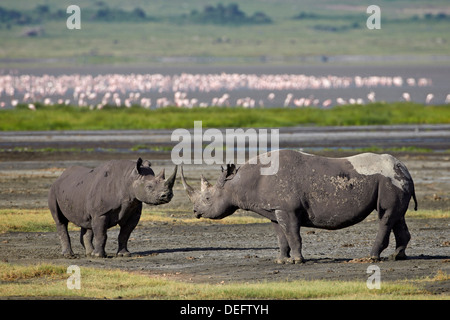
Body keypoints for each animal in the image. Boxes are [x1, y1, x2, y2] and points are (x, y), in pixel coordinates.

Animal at [48, 159, 177, 258]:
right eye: (149, 187)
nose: (167, 195)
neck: (129, 179)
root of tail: (60, 177)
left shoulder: (133, 211)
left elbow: (125, 233)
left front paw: (124, 254)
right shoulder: (101, 213)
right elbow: (101, 234)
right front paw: (99, 256)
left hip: (78, 190)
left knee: (87, 221)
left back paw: (89, 253)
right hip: (54, 190)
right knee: (60, 221)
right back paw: (69, 255)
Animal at [182, 151, 418, 264]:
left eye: (207, 198)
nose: (196, 212)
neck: (238, 183)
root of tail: (405, 169)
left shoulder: (288, 209)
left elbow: (293, 234)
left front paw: (297, 261)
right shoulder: (274, 210)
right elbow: (281, 236)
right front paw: (281, 260)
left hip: (389, 181)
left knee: (385, 216)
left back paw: (372, 257)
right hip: (396, 181)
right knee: (397, 216)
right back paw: (397, 256)